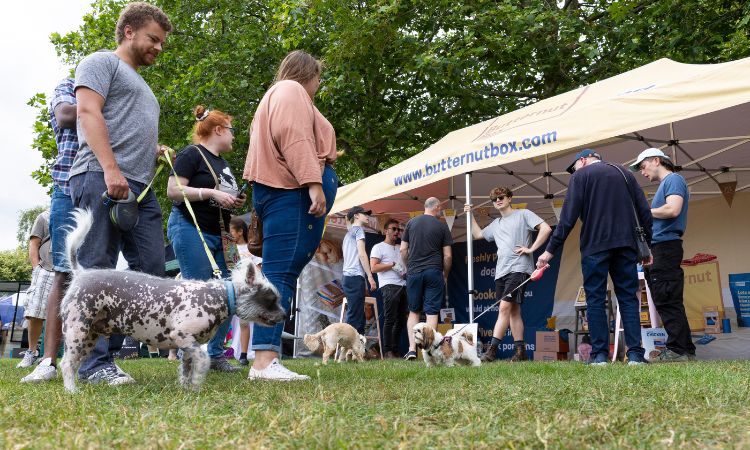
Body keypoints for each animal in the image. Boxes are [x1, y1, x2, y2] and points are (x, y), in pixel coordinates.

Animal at [58, 209, 286, 392]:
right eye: (271, 299)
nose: (285, 315)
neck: (219, 295)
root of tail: (81, 273)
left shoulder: (188, 346)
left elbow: (186, 368)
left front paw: (187, 389)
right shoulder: (183, 336)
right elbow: (204, 360)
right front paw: (197, 383)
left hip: (89, 337)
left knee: (73, 364)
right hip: (78, 333)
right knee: (66, 364)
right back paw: (71, 390)